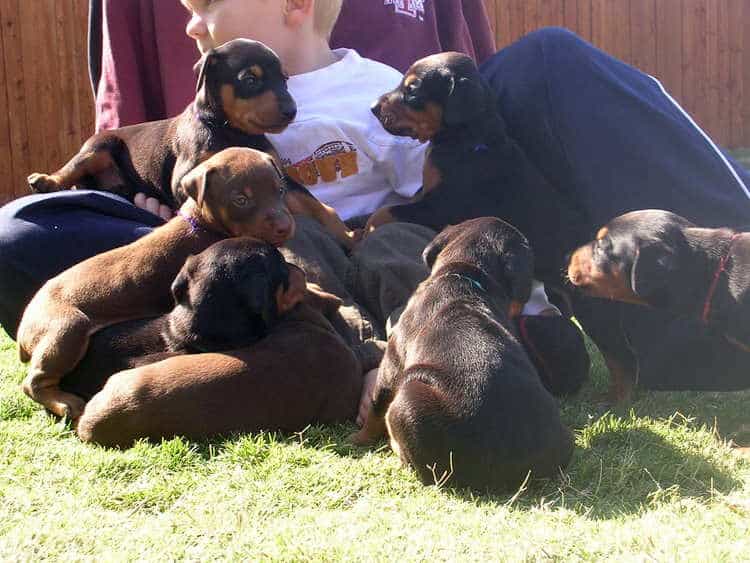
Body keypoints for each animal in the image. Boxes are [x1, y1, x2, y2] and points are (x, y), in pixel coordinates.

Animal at [17, 148, 294, 420]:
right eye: (241, 199)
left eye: (280, 190)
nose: (285, 227)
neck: (202, 223)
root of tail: (23, 327)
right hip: (68, 328)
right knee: (33, 382)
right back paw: (65, 403)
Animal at [28, 38, 356, 250]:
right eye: (250, 79)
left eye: (285, 80)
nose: (292, 110)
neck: (231, 131)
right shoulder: (185, 176)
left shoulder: (279, 174)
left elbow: (317, 206)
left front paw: (349, 236)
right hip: (99, 146)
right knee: (70, 168)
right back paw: (46, 180)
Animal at [368, 51, 584, 282]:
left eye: (412, 91)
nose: (373, 107)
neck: (467, 139)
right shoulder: (428, 193)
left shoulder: (439, 207)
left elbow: (385, 211)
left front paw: (365, 229)